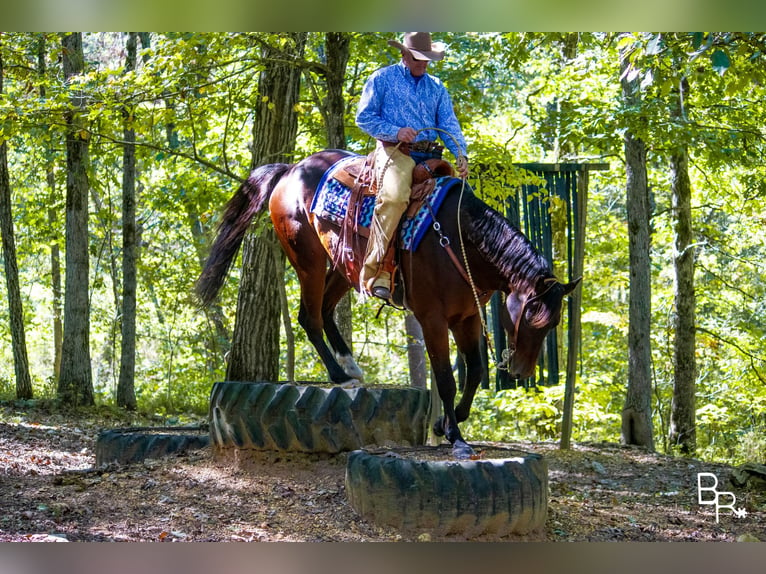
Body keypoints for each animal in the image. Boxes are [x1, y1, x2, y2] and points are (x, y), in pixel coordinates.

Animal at [198, 150, 584, 460]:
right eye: (532, 318)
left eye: (553, 323)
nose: (520, 371)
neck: (459, 242)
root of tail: (292, 169)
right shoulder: (432, 319)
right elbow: (445, 380)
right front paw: (457, 439)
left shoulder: (467, 316)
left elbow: (474, 371)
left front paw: (448, 423)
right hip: (309, 261)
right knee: (310, 316)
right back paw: (340, 376)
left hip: (347, 264)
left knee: (325, 310)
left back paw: (350, 365)